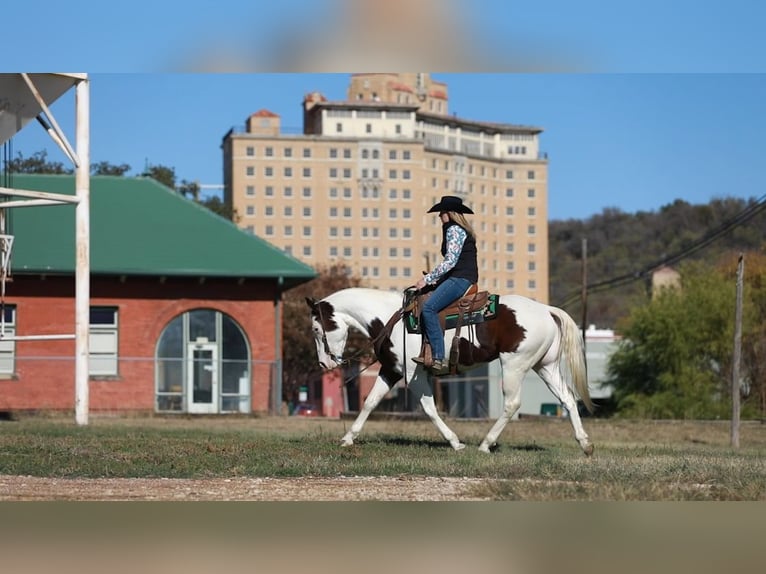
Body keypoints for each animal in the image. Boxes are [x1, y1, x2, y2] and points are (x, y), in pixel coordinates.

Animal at [308, 288, 596, 460]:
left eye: (316, 329)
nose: (323, 364)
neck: (390, 320)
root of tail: (547, 310)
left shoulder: (414, 374)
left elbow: (429, 409)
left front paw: (455, 442)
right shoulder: (391, 370)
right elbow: (370, 403)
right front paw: (348, 438)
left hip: (515, 365)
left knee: (512, 403)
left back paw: (485, 444)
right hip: (545, 366)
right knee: (568, 399)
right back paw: (585, 444)